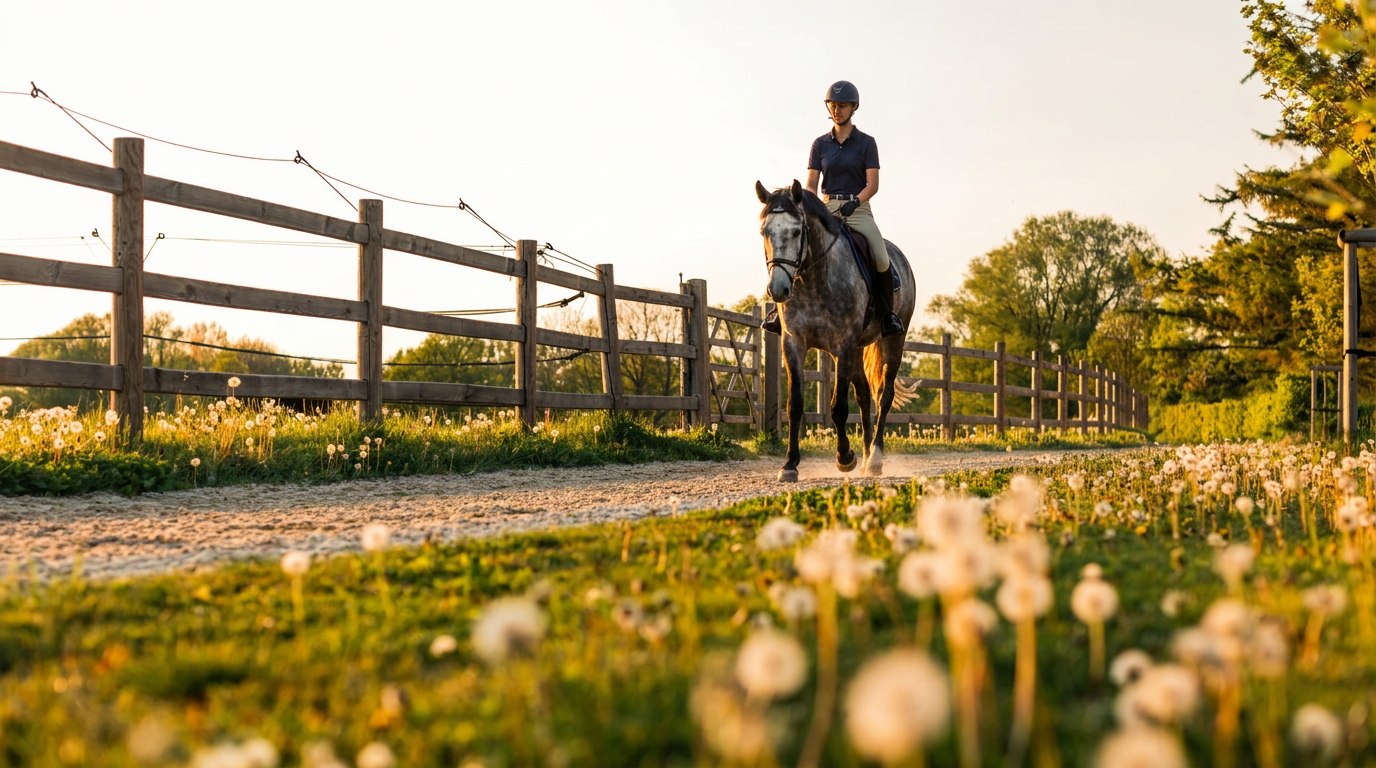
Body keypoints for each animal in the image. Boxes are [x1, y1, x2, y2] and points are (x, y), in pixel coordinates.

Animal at [755, 179, 917, 482]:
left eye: (797, 231)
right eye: (764, 232)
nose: (778, 290)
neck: (813, 278)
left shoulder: (843, 345)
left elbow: (838, 407)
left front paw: (844, 458)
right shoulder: (793, 344)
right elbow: (794, 405)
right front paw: (790, 464)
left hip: (893, 341)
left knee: (884, 395)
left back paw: (874, 459)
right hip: (856, 350)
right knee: (864, 395)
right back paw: (865, 457)